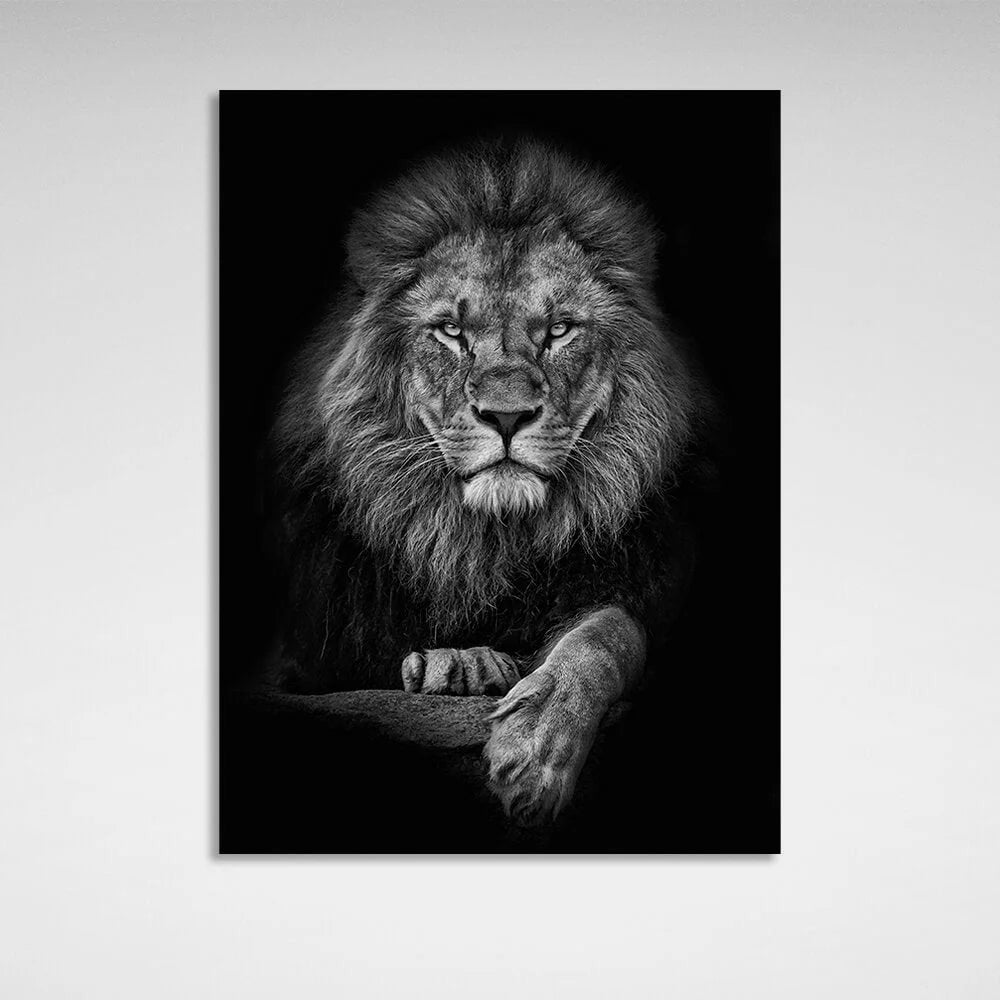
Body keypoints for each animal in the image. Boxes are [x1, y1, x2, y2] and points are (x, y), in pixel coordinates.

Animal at [265, 138, 714, 826]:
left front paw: (535, 750)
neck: (483, 542)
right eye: (452, 332)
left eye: (559, 330)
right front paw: (461, 663)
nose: (505, 416)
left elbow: (609, 632)